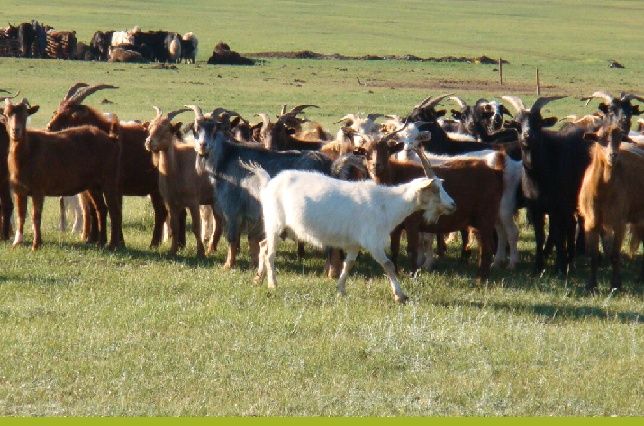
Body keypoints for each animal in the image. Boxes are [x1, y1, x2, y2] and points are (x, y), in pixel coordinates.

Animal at [1, 98, 123, 250]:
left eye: (25, 115)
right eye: (6, 115)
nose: (15, 131)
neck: (28, 152)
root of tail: (112, 139)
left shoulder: (38, 189)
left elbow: (36, 215)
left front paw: (36, 244)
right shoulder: (19, 190)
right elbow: (21, 215)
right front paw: (17, 242)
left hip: (109, 180)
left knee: (114, 209)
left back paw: (112, 244)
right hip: (93, 185)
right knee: (101, 208)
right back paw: (101, 242)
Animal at [46, 83, 168, 248]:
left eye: (70, 115)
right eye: (56, 111)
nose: (49, 127)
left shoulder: (115, 186)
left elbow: (114, 210)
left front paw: (116, 242)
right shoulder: (93, 187)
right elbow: (94, 210)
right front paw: (93, 239)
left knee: (161, 212)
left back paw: (154, 243)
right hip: (154, 190)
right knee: (160, 212)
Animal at [145, 106, 221, 257]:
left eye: (166, 129)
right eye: (150, 127)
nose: (149, 142)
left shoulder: (193, 201)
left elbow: (196, 227)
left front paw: (200, 253)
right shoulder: (171, 203)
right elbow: (175, 227)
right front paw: (172, 251)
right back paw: (212, 248)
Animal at [245, 148, 456, 303]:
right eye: (435, 189)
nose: (453, 205)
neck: (387, 204)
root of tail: (269, 183)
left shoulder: (355, 243)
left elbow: (349, 264)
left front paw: (340, 290)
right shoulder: (373, 241)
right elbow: (388, 265)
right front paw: (400, 295)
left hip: (284, 228)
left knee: (263, 246)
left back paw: (258, 279)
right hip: (275, 223)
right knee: (270, 252)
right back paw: (273, 284)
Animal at [578, 123, 644, 290]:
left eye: (620, 139)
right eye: (600, 138)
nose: (613, 155)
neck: (602, 191)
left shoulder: (619, 222)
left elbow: (615, 255)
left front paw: (616, 285)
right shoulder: (591, 222)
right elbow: (594, 255)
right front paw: (591, 285)